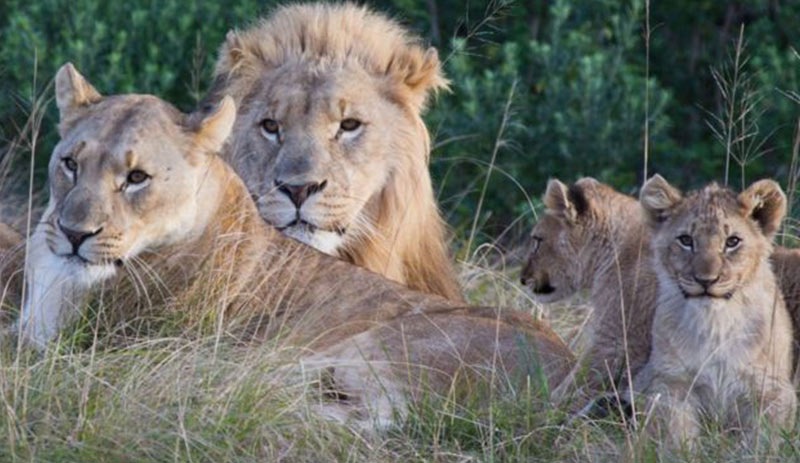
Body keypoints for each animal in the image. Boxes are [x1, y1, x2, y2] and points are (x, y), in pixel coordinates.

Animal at [15, 64, 572, 428]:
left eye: (136, 178)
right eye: (69, 164)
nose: (74, 233)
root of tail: (576, 383)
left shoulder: (94, 350)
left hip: (364, 349)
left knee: (366, 414)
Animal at [636, 176, 796, 448]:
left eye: (732, 241)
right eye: (686, 240)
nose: (706, 280)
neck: (715, 323)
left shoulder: (773, 391)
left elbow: (763, 439)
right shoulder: (670, 383)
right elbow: (676, 435)